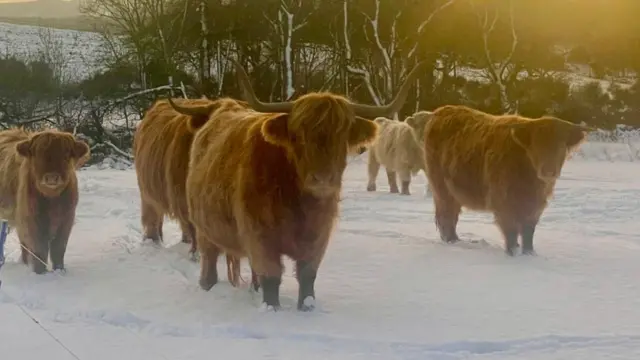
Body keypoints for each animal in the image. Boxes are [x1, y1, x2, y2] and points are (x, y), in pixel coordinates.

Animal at [0, 128, 89, 272]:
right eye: (37, 155)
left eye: (66, 155)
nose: (52, 177)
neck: (52, 200)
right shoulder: (31, 220)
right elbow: (39, 249)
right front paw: (40, 272)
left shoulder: (66, 220)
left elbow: (58, 249)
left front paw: (60, 270)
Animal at [132, 96, 242, 286]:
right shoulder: (184, 200)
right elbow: (194, 228)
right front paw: (195, 255)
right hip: (147, 191)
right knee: (152, 215)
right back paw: (153, 240)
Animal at [169, 59, 424, 312]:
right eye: (298, 136)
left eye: (342, 137)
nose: (322, 178)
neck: (297, 203)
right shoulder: (260, 236)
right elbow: (271, 276)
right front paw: (271, 308)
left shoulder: (318, 236)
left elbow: (307, 275)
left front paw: (307, 307)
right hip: (204, 228)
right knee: (209, 259)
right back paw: (207, 285)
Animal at [422, 105, 592, 256]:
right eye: (536, 145)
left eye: (561, 146)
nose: (549, 171)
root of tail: (440, 112)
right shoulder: (503, 202)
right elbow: (511, 230)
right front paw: (513, 253)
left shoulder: (535, 206)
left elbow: (528, 231)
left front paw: (529, 254)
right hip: (441, 188)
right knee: (447, 214)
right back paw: (451, 241)